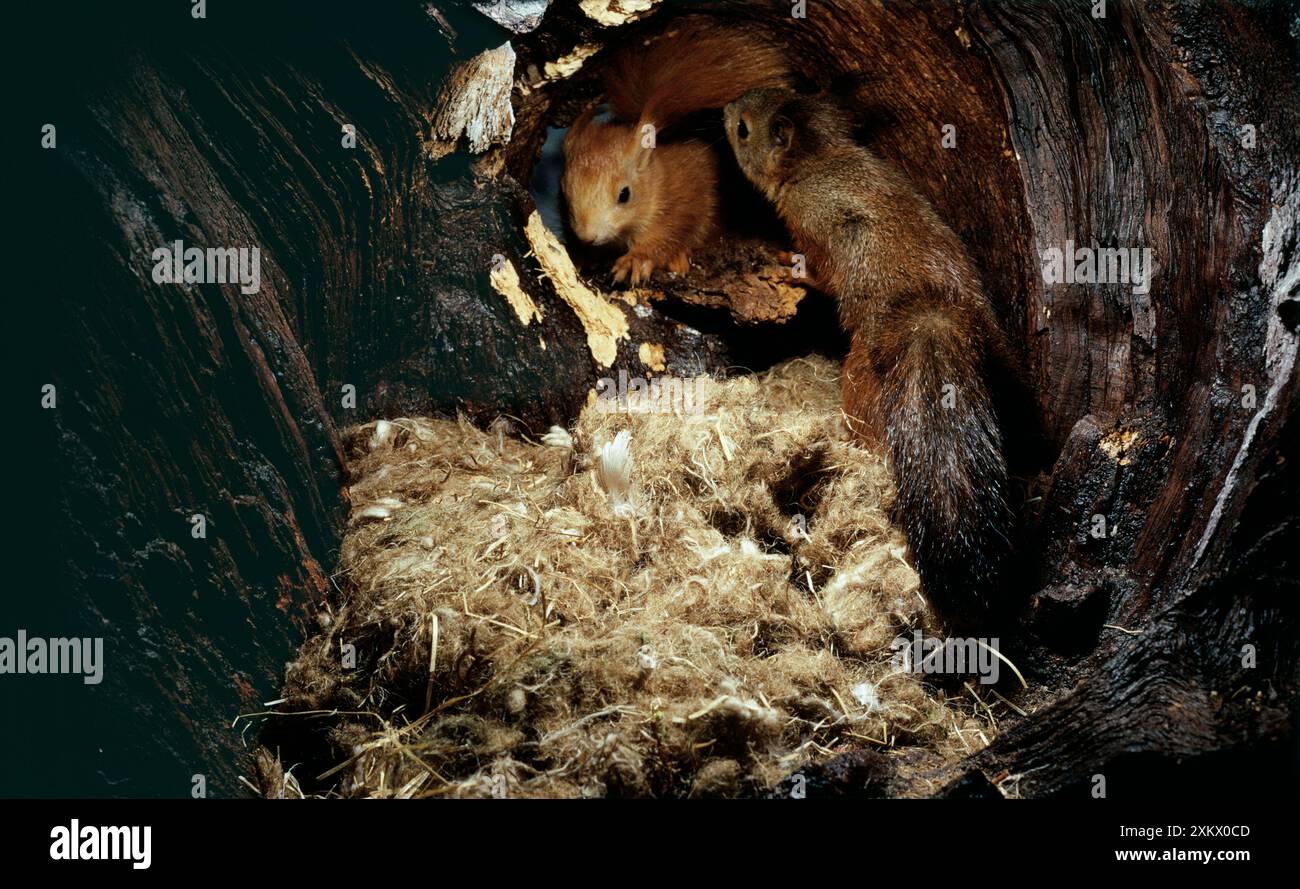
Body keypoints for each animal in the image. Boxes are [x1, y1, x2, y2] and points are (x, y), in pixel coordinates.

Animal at [561, 17, 785, 284]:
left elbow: (668, 235)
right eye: (564, 191)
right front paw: (581, 255)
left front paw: (637, 260)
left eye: (625, 194)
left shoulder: (682, 202)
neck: (658, 180)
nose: (588, 236)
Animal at [722, 85, 1013, 623]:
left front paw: (787, 267)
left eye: (744, 128)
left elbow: (817, 273)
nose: (725, 108)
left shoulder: (814, 228)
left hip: (858, 378)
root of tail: (934, 311)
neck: (820, 157)